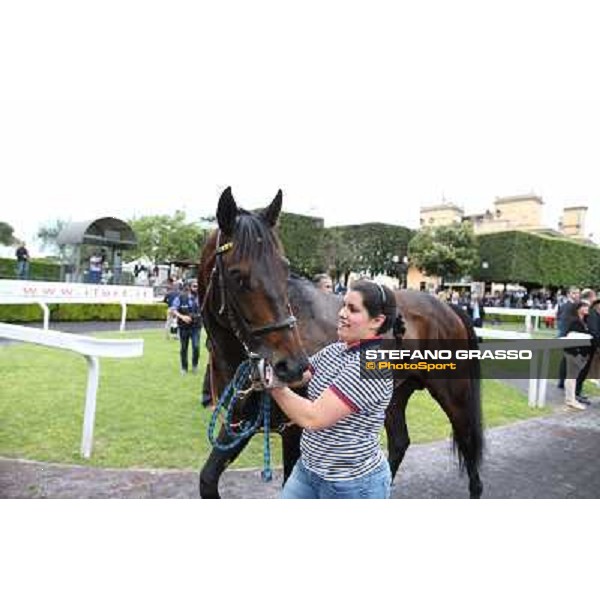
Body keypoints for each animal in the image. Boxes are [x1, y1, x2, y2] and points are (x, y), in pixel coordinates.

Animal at [198, 188, 482, 496]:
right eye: (237, 275)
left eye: (284, 269)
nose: (292, 366)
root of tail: (447, 306)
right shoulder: (239, 423)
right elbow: (207, 479)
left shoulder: (296, 429)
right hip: (395, 393)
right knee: (399, 441)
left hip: (454, 393)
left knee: (468, 443)